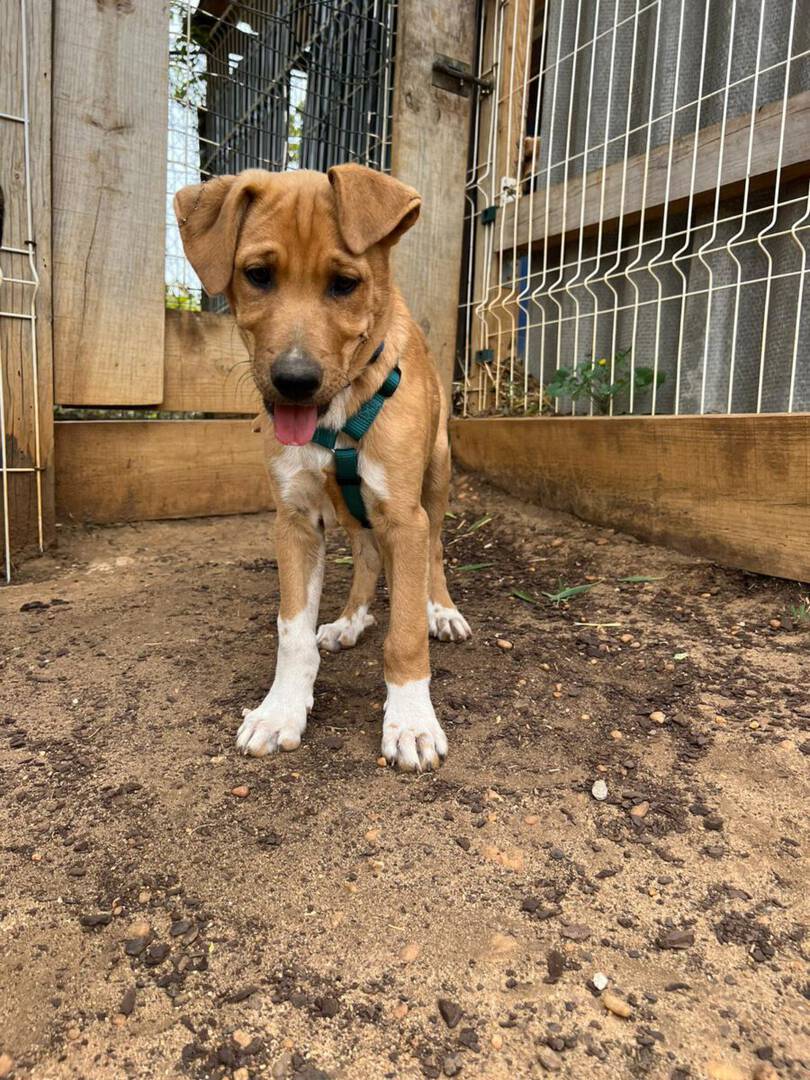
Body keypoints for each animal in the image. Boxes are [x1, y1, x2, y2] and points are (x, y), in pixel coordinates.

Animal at [174, 165, 471, 771]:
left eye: (345, 284)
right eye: (258, 275)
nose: (293, 381)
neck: (336, 417)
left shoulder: (404, 519)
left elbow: (406, 633)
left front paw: (411, 722)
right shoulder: (295, 520)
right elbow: (292, 632)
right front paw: (281, 710)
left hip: (435, 480)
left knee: (432, 555)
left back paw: (441, 611)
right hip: (355, 513)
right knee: (366, 557)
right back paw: (351, 621)